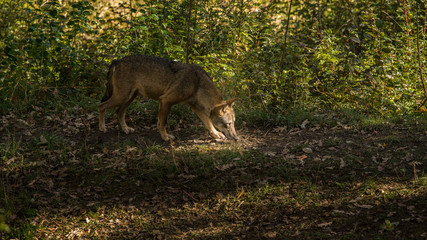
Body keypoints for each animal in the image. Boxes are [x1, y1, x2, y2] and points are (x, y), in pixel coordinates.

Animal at [98, 55, 239, 142]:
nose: (237, 138)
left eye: (233, 123)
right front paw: (165, 137)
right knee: (101, 106)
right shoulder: (165, 101)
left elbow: (208, 123)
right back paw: (102, 128)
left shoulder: (195, 107)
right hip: (122, 97)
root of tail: (117, 60)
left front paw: (216, 134)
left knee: (119, 112)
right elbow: (163, 123)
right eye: (228, 124)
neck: (197, 83)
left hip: (129, 98)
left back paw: (125, 129)